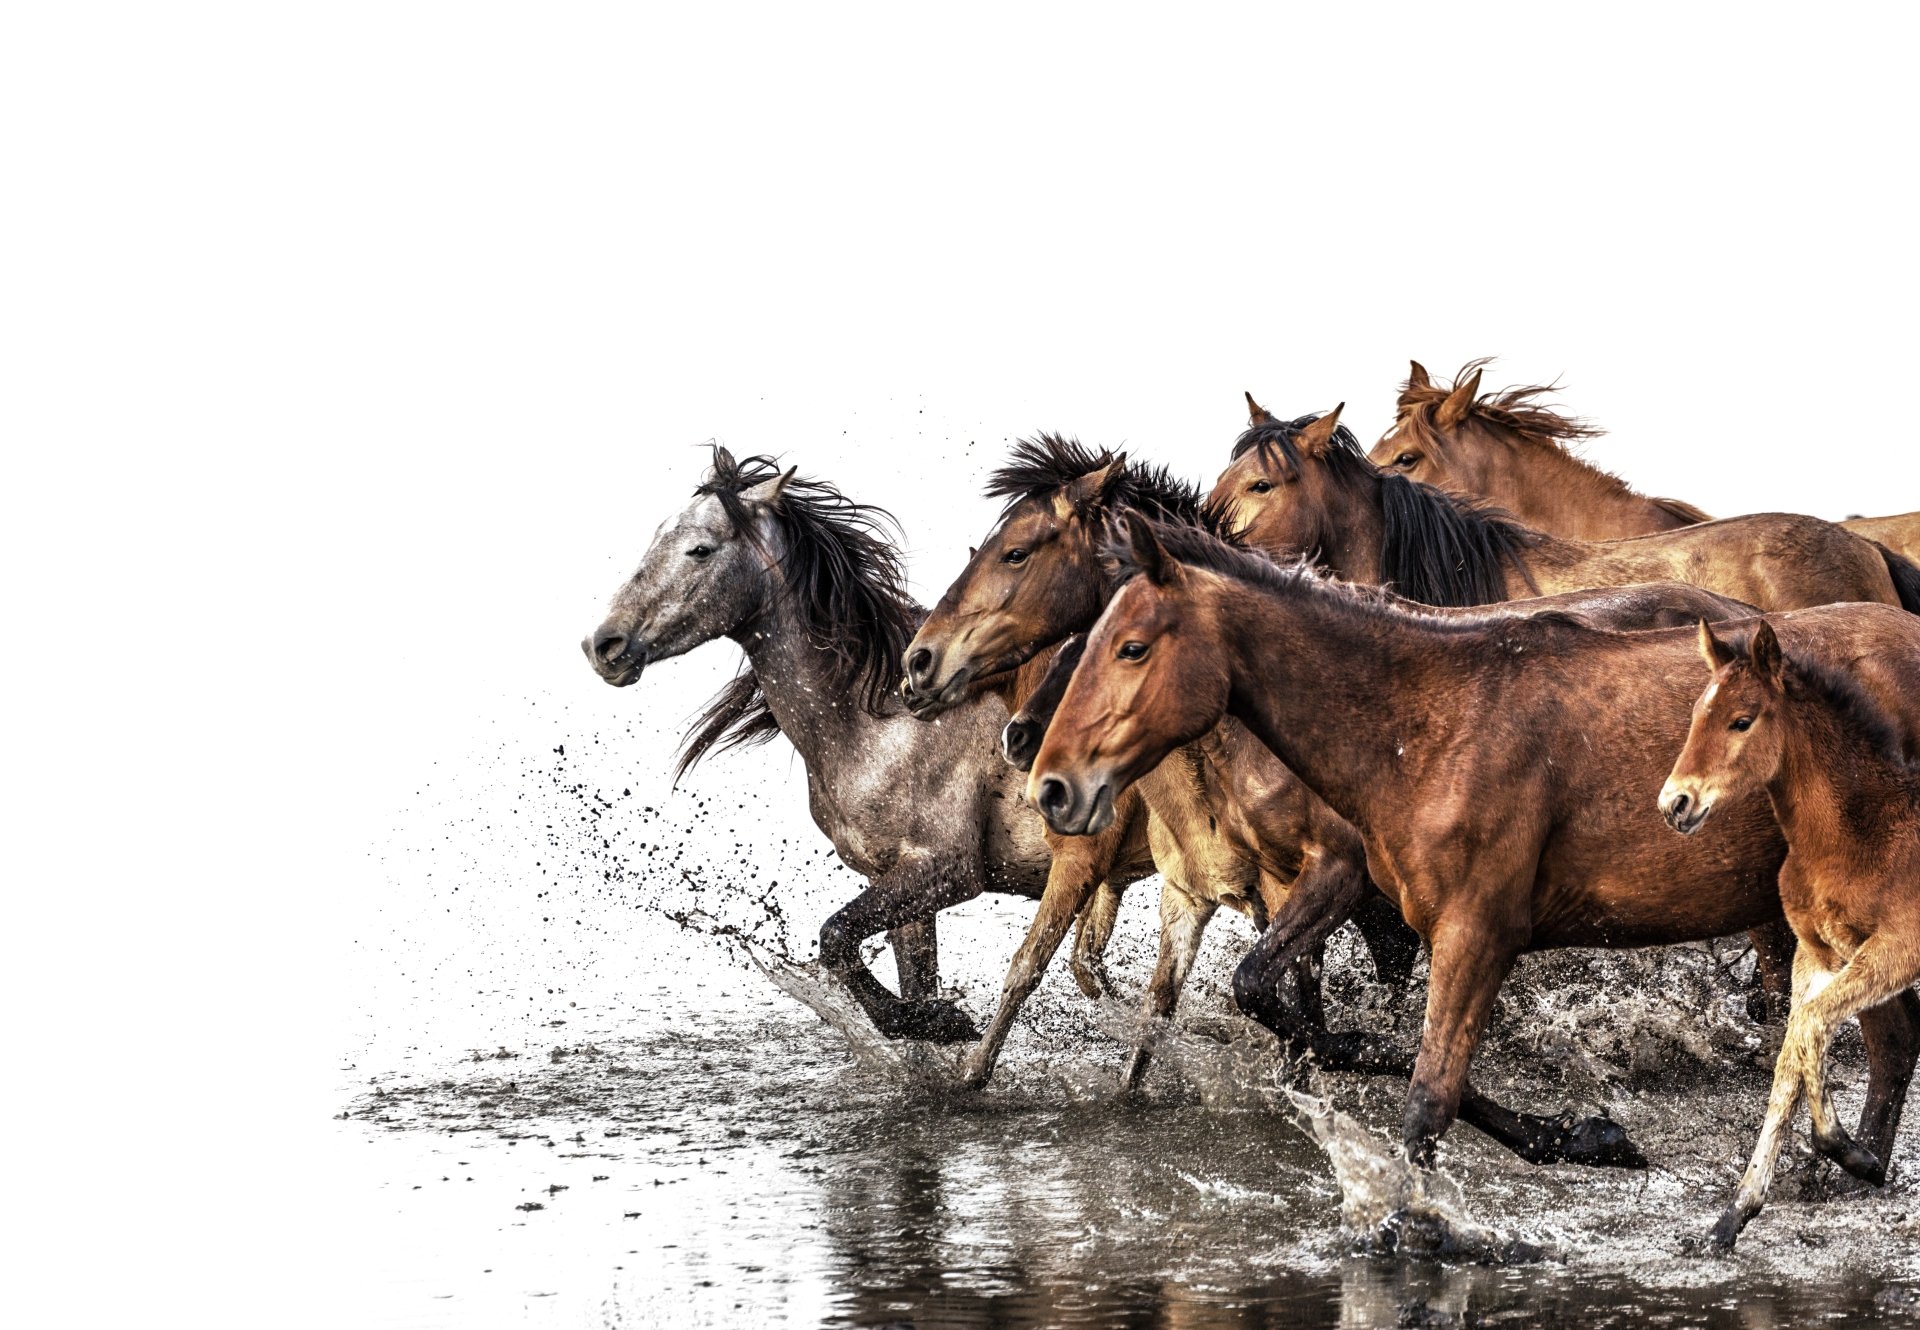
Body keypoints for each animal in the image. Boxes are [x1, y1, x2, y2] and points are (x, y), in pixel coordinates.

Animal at [582, 447, 1149, 1043]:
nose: (604, 646)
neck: (878, 721)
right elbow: (904, 976)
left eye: (700, 549)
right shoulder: (899, 886)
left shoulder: (947, 870)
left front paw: (944, 1021)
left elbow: (835, 937)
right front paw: (931, 1022)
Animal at [1025, 511, 1920, 1179]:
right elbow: (1319, 1023)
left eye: (1131, 646)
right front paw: (1581, 1135)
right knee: (1887, 1034)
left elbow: (1426, 1098)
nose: (1049, 783)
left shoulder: (1470, 931)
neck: (1427, 726)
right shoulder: (1394, 911)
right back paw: (1851, 1161)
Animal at [1661, 618, 1920, 1251]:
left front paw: (1852, 1154)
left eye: (1742, 720)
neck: (1861, 835)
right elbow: (1790, 1062)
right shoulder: (1815, 955)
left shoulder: (1897, 949)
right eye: (1697, 714)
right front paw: (1732, 1217)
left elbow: (1810, 1026)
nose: (1674, 803)